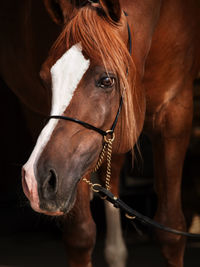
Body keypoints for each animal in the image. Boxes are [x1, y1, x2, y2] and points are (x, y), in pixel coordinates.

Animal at [0, 0, 199, 267]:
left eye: (106, 80)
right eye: (44, 79)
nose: (37, 179)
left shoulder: (175, 112)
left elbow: (171, 229)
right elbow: (80, 236)